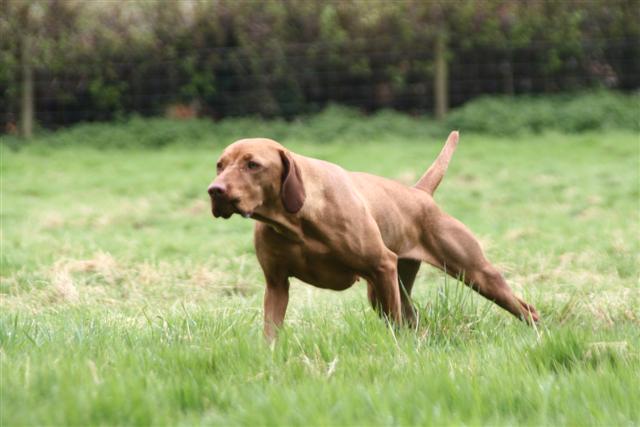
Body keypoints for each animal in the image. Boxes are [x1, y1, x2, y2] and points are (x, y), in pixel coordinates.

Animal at [207, 132, 539, 340]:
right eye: (219, 165)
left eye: (253, 165)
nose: (215, 191)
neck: (296, 219)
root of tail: (420, 194)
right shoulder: (276, 284)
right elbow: (270, 333)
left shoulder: (382, 264)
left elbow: (394, 326)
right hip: (385, 288)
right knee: (412, 319)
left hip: (476, 274)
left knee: (527, 309)